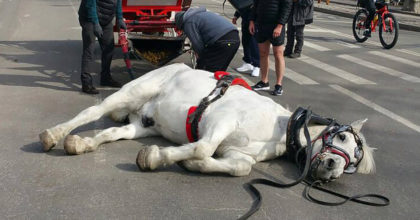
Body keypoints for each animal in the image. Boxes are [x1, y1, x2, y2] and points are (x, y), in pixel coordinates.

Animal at [38, 62, 374, 181]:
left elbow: (241, 168)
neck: (276, 127)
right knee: (92, 114)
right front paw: (158, 156)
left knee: (109, 132)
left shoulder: (236, 153)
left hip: (141, 124)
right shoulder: (221, 121)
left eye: (354, 162)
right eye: (343, 137)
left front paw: (190, 164)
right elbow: (202, 147)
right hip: (132, 93)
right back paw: (54, 134)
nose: (332, 169)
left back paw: (81, 143)